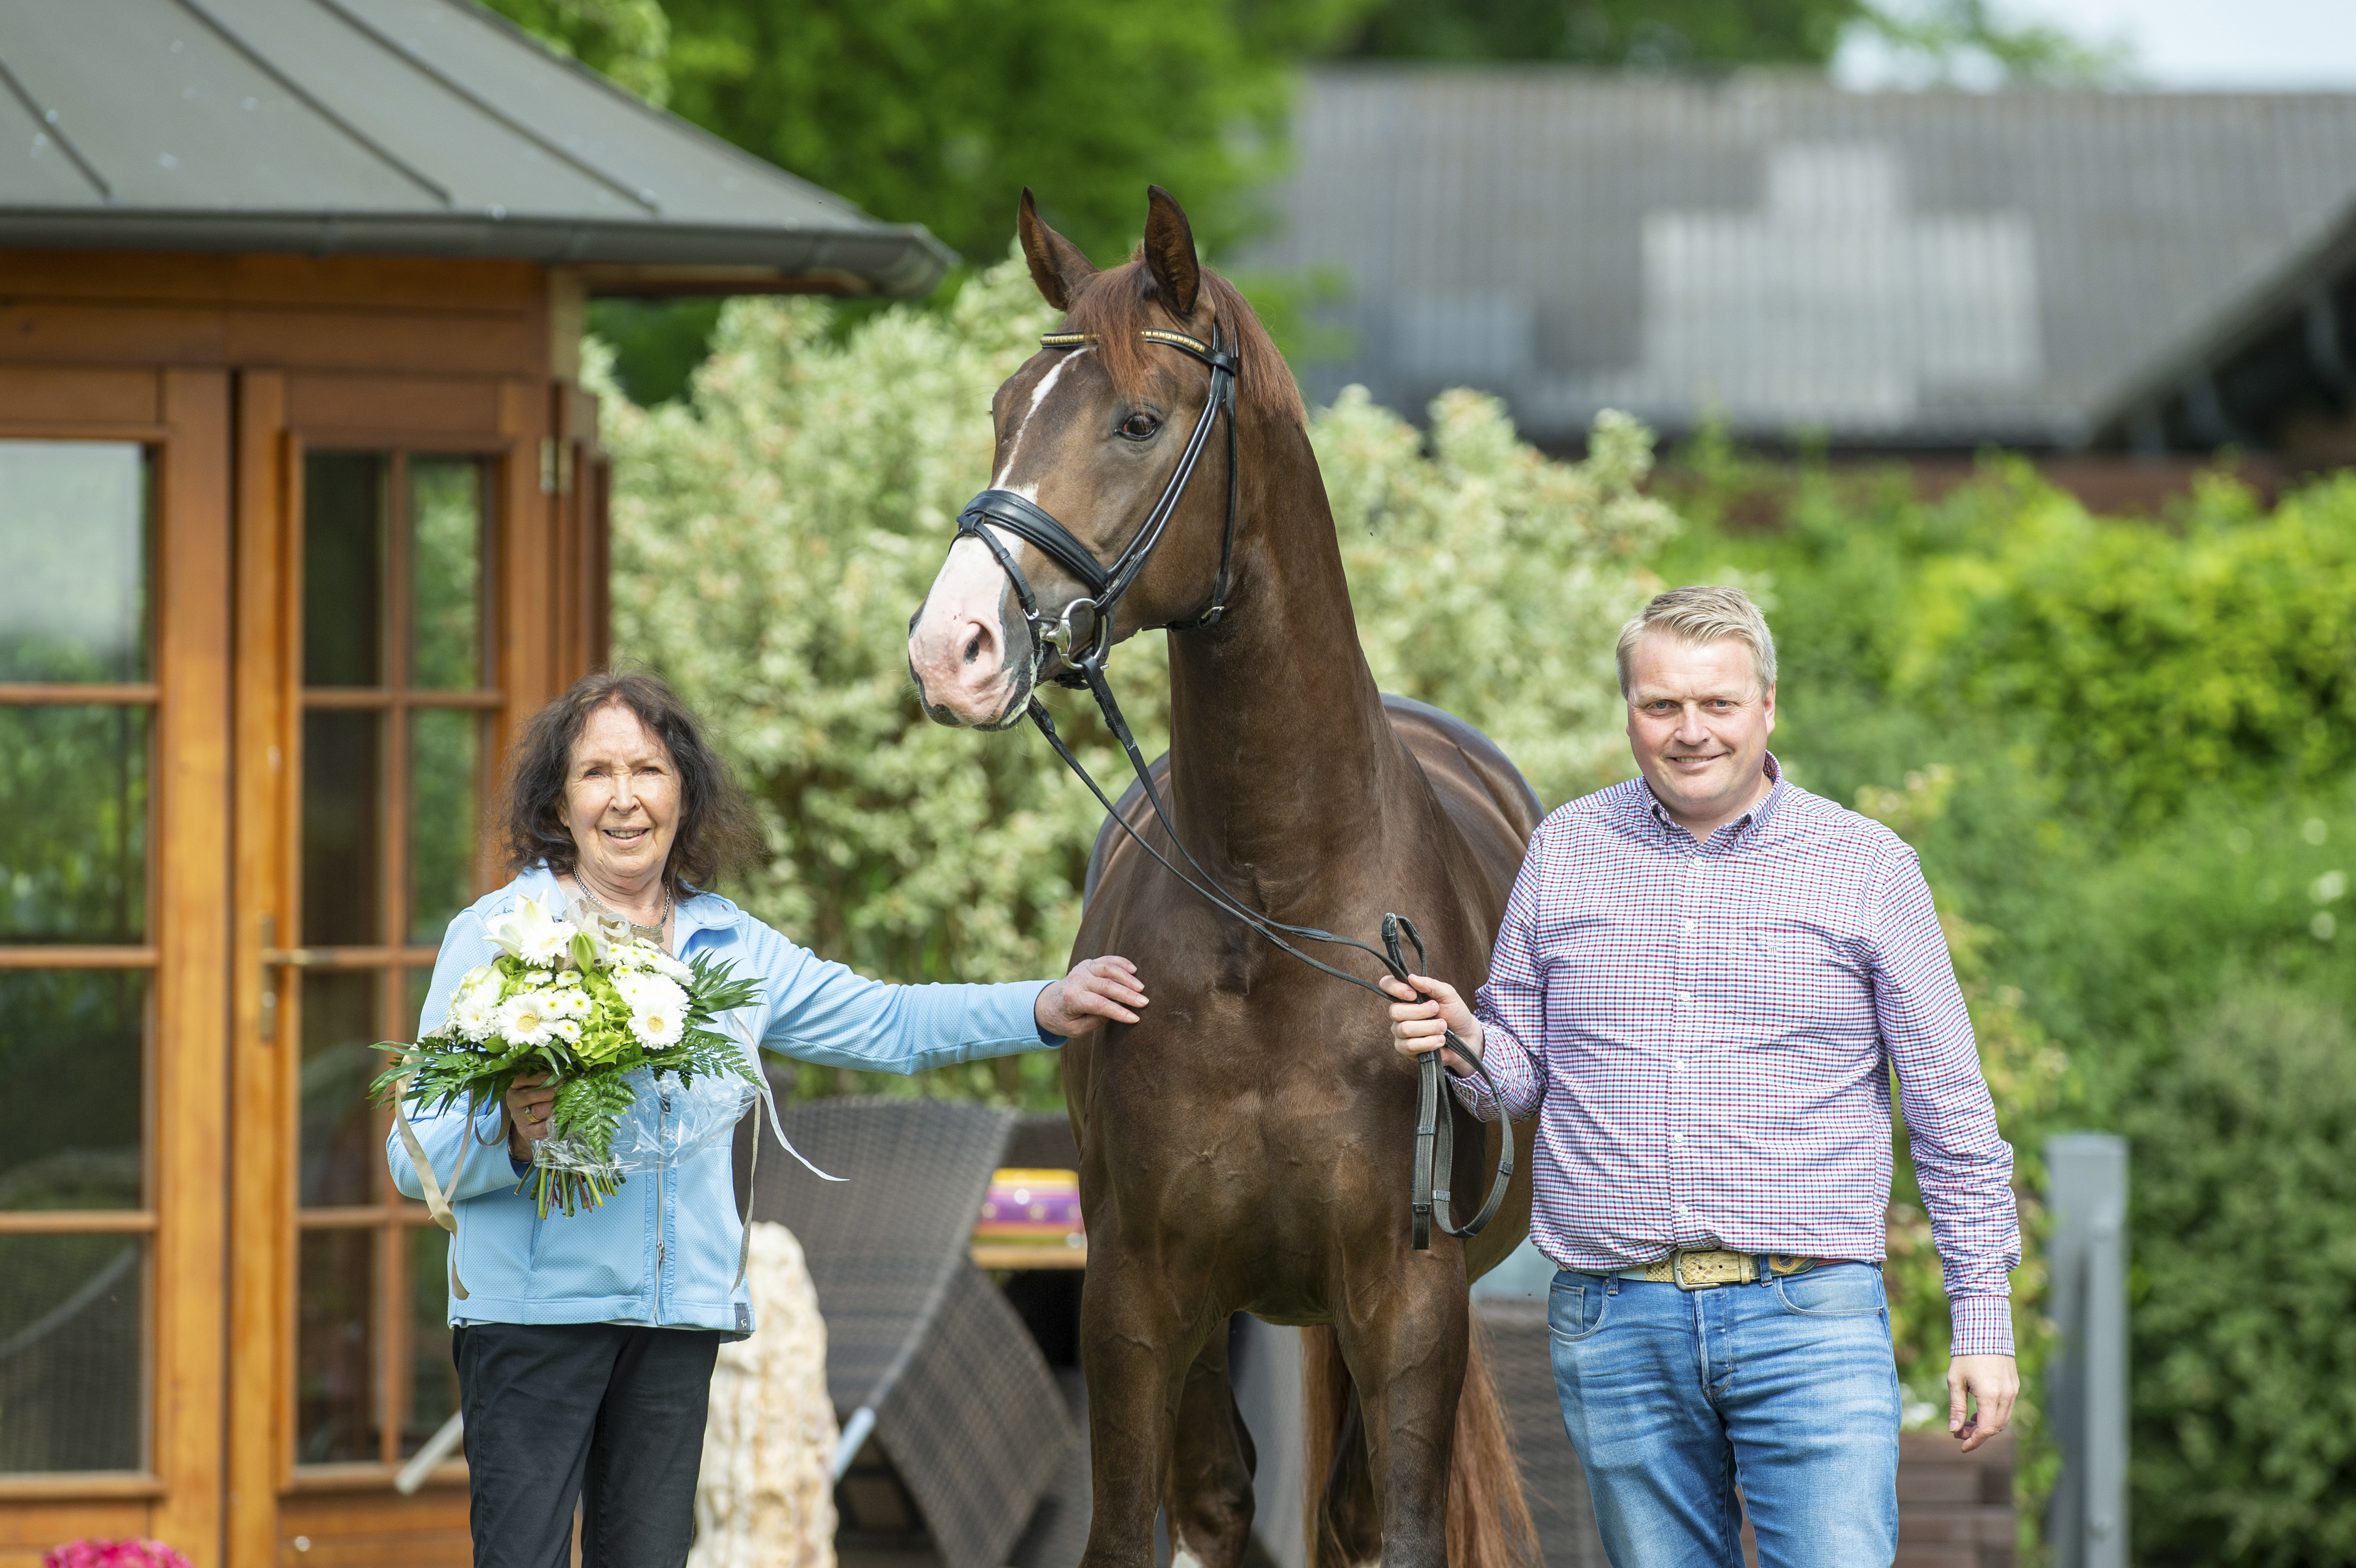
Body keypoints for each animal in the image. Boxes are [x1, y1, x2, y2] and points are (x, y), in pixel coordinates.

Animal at [904, 189, 1545, 1563]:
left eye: (1139, 419)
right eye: (1004, 407)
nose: (950, 648)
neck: (1278, 906)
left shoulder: (1409, 1303)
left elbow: (1391, 1524)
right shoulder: (1138, 1297)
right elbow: (1152, 1518)